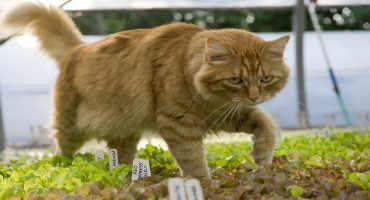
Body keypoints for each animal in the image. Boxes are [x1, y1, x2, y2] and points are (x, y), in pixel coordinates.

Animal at [0, 0, 290, 177]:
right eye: (236, 80)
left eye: (265, 78)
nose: (254, 96)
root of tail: (79, 48)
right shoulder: (178, 124)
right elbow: (193, 160)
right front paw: (203, 185)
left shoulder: (223, 115)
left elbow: (266, 123)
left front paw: (262, 155)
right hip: (72, 125)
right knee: (61, 148)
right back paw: (63, 167)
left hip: (124, 131)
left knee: (120, 158)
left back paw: (125, 177)